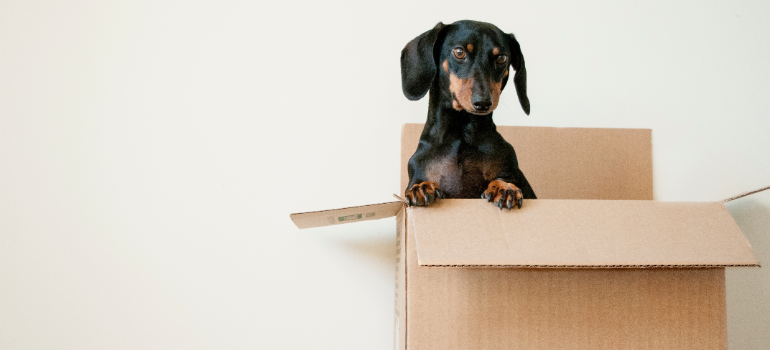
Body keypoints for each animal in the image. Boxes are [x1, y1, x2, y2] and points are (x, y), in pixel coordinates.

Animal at [400, 20, 536, 211]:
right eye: (459, 52)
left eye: (501, 58)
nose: (483, 102)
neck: (461, 134)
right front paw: (421, 187)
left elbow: (505, 179)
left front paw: (504, 187)